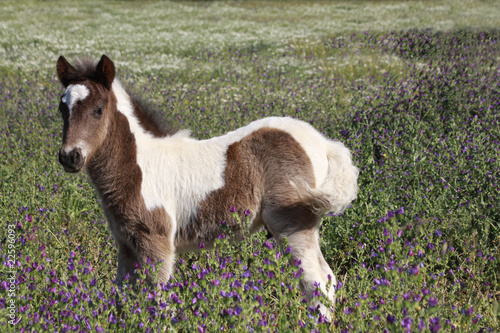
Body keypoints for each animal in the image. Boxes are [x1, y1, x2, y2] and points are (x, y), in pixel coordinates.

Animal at [55, 55, 360, 320]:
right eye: (61, 109)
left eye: (98, 110)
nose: (70, 157)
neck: (138, 167)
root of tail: (324, 143)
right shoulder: (126, 244)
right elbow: (122, 297)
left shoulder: (157, 243)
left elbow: (158, 300)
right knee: (327, 278)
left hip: (291, 225)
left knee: (315, 282)